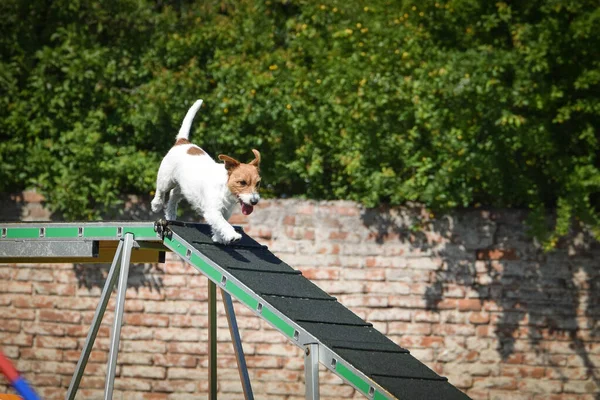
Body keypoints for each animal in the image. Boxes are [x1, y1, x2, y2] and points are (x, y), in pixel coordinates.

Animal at [150, 100, 260, 244]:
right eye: (242, 182)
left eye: (258, 183)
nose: (254, 201)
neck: (225, 188)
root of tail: (183, 142)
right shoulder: (213, 210)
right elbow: (223, 223)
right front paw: (232, 235)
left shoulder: (225, 212)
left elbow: (220, 223)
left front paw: (218, 237)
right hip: (166, 179)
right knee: (161, 191)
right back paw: (156, 205)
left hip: (185, 188)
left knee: (174, 195)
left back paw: (171, 214)